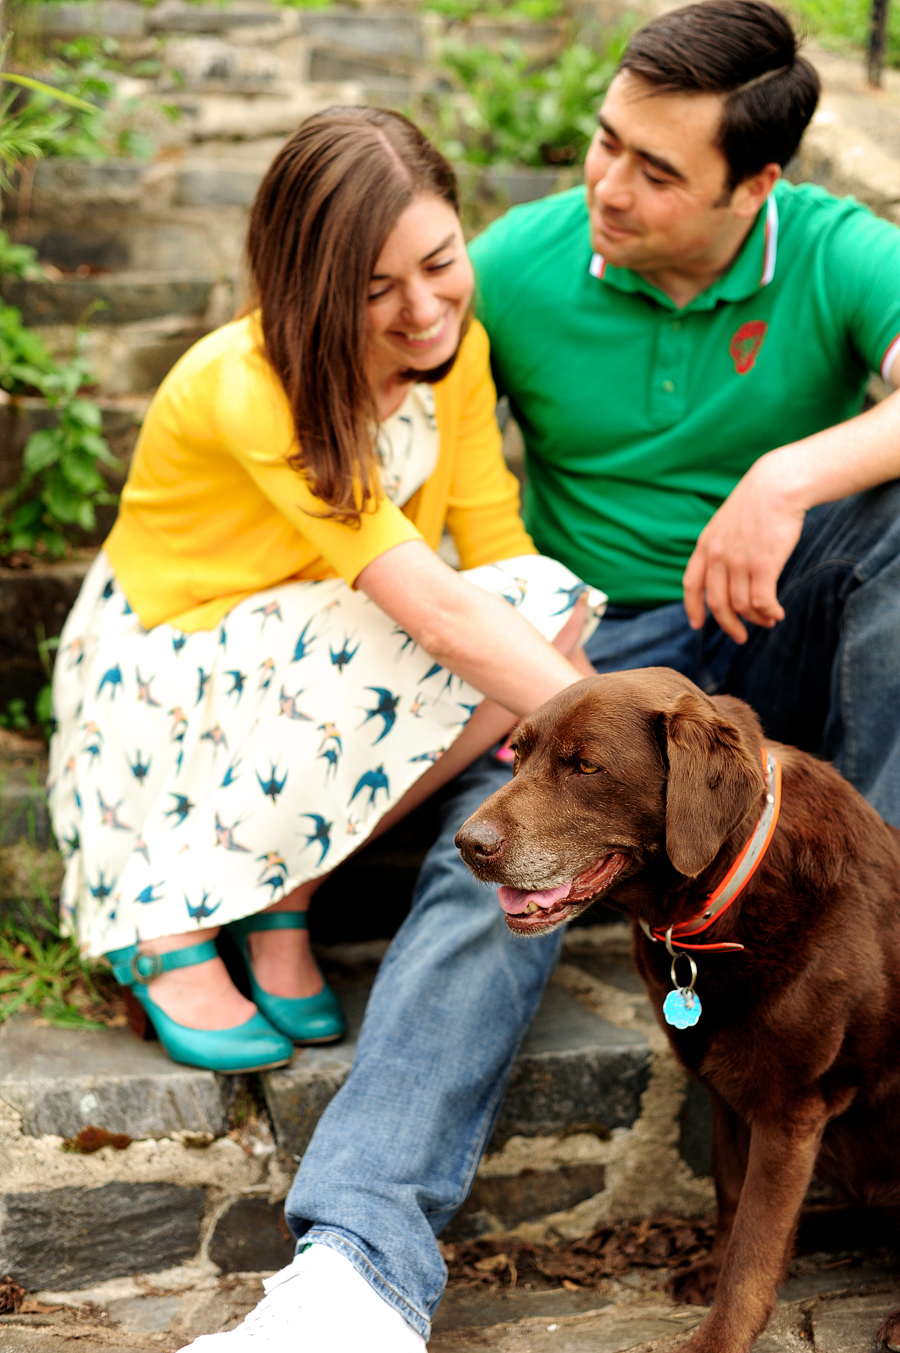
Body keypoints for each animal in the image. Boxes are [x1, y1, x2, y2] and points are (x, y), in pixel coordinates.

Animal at [460, 671, 900, 1353]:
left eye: (585, 766)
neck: (722, 899)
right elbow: (732, 1195)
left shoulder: (790, 1109)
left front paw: (717, 1337)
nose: (466, 844)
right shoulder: (725, 1091)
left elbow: (755, 1242)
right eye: (517, 755)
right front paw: (711, 1270)